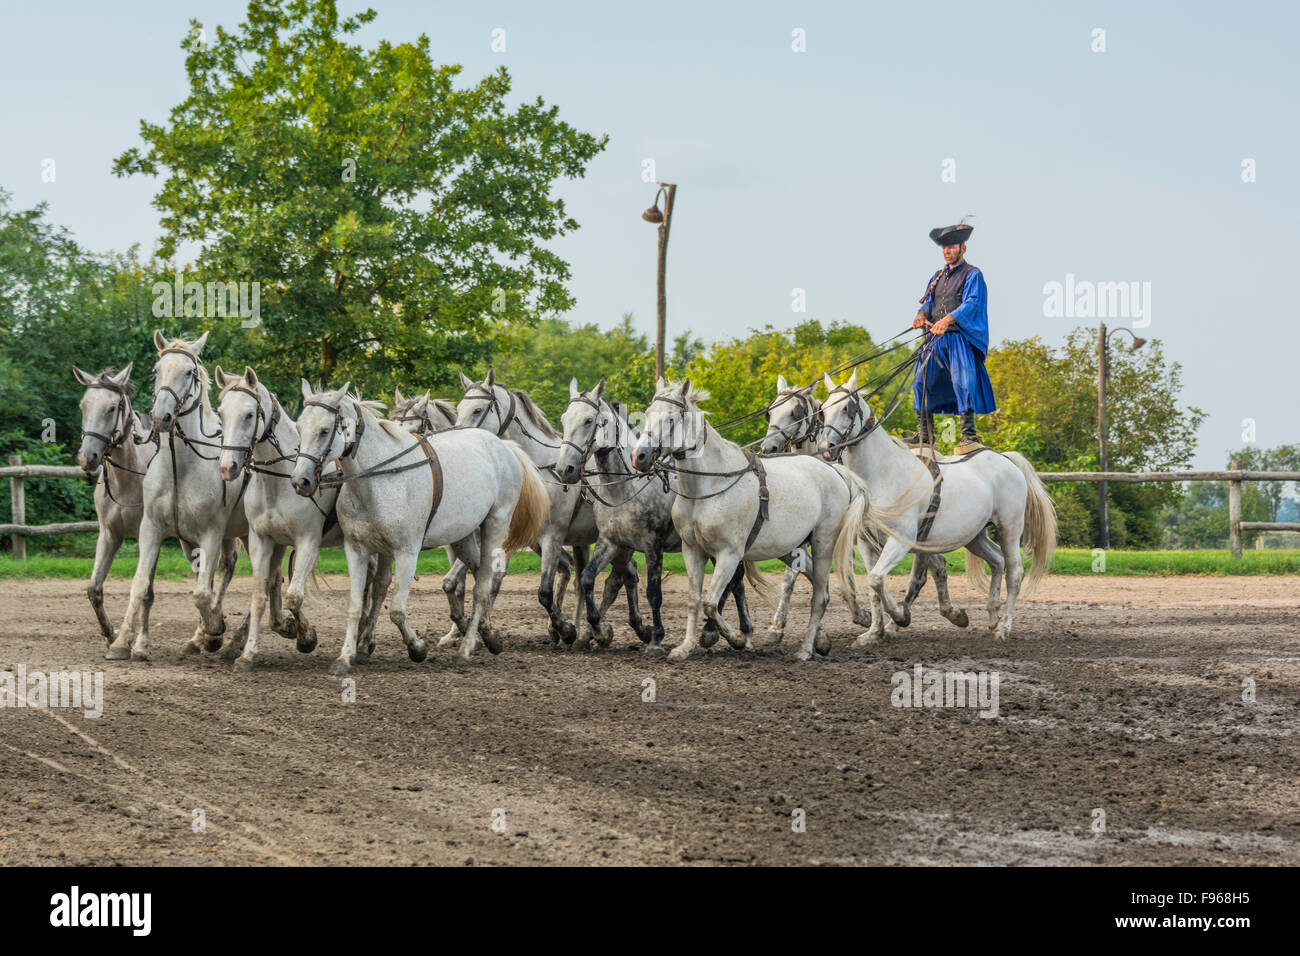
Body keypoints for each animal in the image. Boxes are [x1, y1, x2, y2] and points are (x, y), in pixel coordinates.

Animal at [109, 332, 250, 660]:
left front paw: (215, 631)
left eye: (189, 372)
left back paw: (233, 640)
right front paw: (122, 643)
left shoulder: (211, 534)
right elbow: (139, 584)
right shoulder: (152, 529)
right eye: (156, 370)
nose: (161, 417)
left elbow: (200, 593)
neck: (180, 468)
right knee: (227, 570)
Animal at [291, 382, 548, 671]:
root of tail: (503, 446)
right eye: (299, 427)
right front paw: (346, 657)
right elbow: (356, 605)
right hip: (463, 537)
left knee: (483, 586)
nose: (300, 480)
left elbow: (396, 610)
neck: (376, 480)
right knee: (480, 573)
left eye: (324, 430)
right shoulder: (357, 550)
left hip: (495, 526)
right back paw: (488, 634)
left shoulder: (406, 551)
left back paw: (466, 649)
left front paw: (417, 647)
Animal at [631, 377, 868, 660]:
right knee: (816, 583)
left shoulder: (729, 554)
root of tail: (834, 471)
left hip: (824, 542)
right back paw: (820, 638)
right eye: (647, 414)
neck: (707, 487)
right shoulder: (692, 550)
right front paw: (685, 646)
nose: (639, 456)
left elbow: (710, 602)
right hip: (791, 548)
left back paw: (806, 649)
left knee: (819, 596)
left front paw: (736, 638)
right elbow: (694, 599)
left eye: (671, 419)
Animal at [821, 369, 1055, 642]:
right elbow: (872, 585)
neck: (882, 473)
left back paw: (1003, 628)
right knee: (997, 560)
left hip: (1010, 528)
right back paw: (992, 616)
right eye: (823, 409)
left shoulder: (901, 540)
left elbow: (878, 579)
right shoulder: (867, 543)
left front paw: (899, 617)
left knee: (1015, 572)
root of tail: (1005, 459)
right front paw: (873, 633)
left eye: (846, 408)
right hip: (973, 535)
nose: (826, 449)